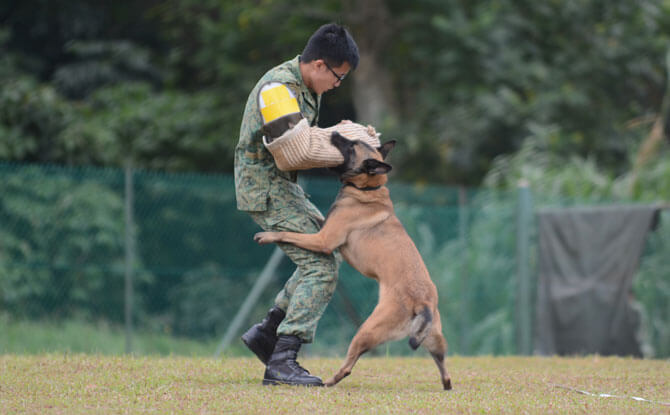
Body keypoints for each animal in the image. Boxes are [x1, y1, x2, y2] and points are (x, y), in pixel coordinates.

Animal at [255, 133, 454, 390]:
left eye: (351, 146)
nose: (333, 133)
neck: (368, 189)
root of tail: (423, 303)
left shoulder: (323, 240)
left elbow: (288, 234)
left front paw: (268, 235)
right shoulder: (325, 229)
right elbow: (316, 217)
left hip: (366, 331)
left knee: (349, 365)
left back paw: (329, 381)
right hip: (434, 339)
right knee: (443, 365)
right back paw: (446, 384)